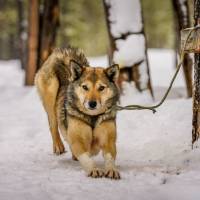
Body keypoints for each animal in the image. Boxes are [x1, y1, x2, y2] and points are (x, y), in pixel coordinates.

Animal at [34, 47, 120, 180]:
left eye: (101, 88)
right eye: (85, 87)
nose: (92, 103)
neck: (92, 118)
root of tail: (61, 54)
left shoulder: (109, 140)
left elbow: (110, 157)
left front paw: (112, 170)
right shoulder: (77, 140)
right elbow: (85, 157)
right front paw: (93, 169)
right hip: (51, 96)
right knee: (53, 126)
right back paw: (58, 146)